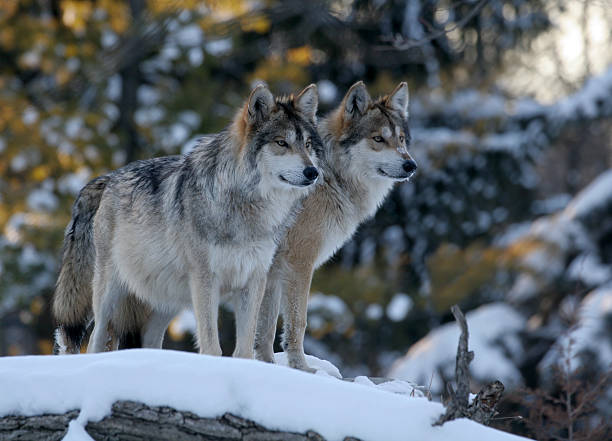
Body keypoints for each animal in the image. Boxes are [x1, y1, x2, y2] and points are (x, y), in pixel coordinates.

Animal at [53, 83, 322, 358]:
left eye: (308, 144)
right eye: (281, 143)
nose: (313, 172)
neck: (247, 207)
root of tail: (108, 178)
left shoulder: (254, 280)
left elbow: (245, 349)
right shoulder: (205, 279)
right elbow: (212, 346)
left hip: (166, 301)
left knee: (149, 341)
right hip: (110, 291)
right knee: (96, 337)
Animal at [253, 81, 416, 370]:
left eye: (401, 139)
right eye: (378, 139)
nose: (411, 165)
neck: (331, 178)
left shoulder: (272, 271)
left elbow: (265, 330)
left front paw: (267, 367)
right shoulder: (298, 263)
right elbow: (298, 322)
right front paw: (302, 369)